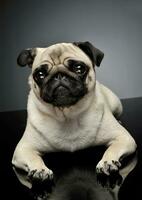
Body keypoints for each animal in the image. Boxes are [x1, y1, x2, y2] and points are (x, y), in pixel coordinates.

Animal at [11, 41, 136, 188]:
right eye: (40, 74)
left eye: (78, 68)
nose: (58, 75)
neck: (68, 115)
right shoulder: (23, 149)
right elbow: (33, 158)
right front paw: (40, 170)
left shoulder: (123, 138)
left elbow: (112, 149)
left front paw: (107, 162)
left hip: (117, 105)